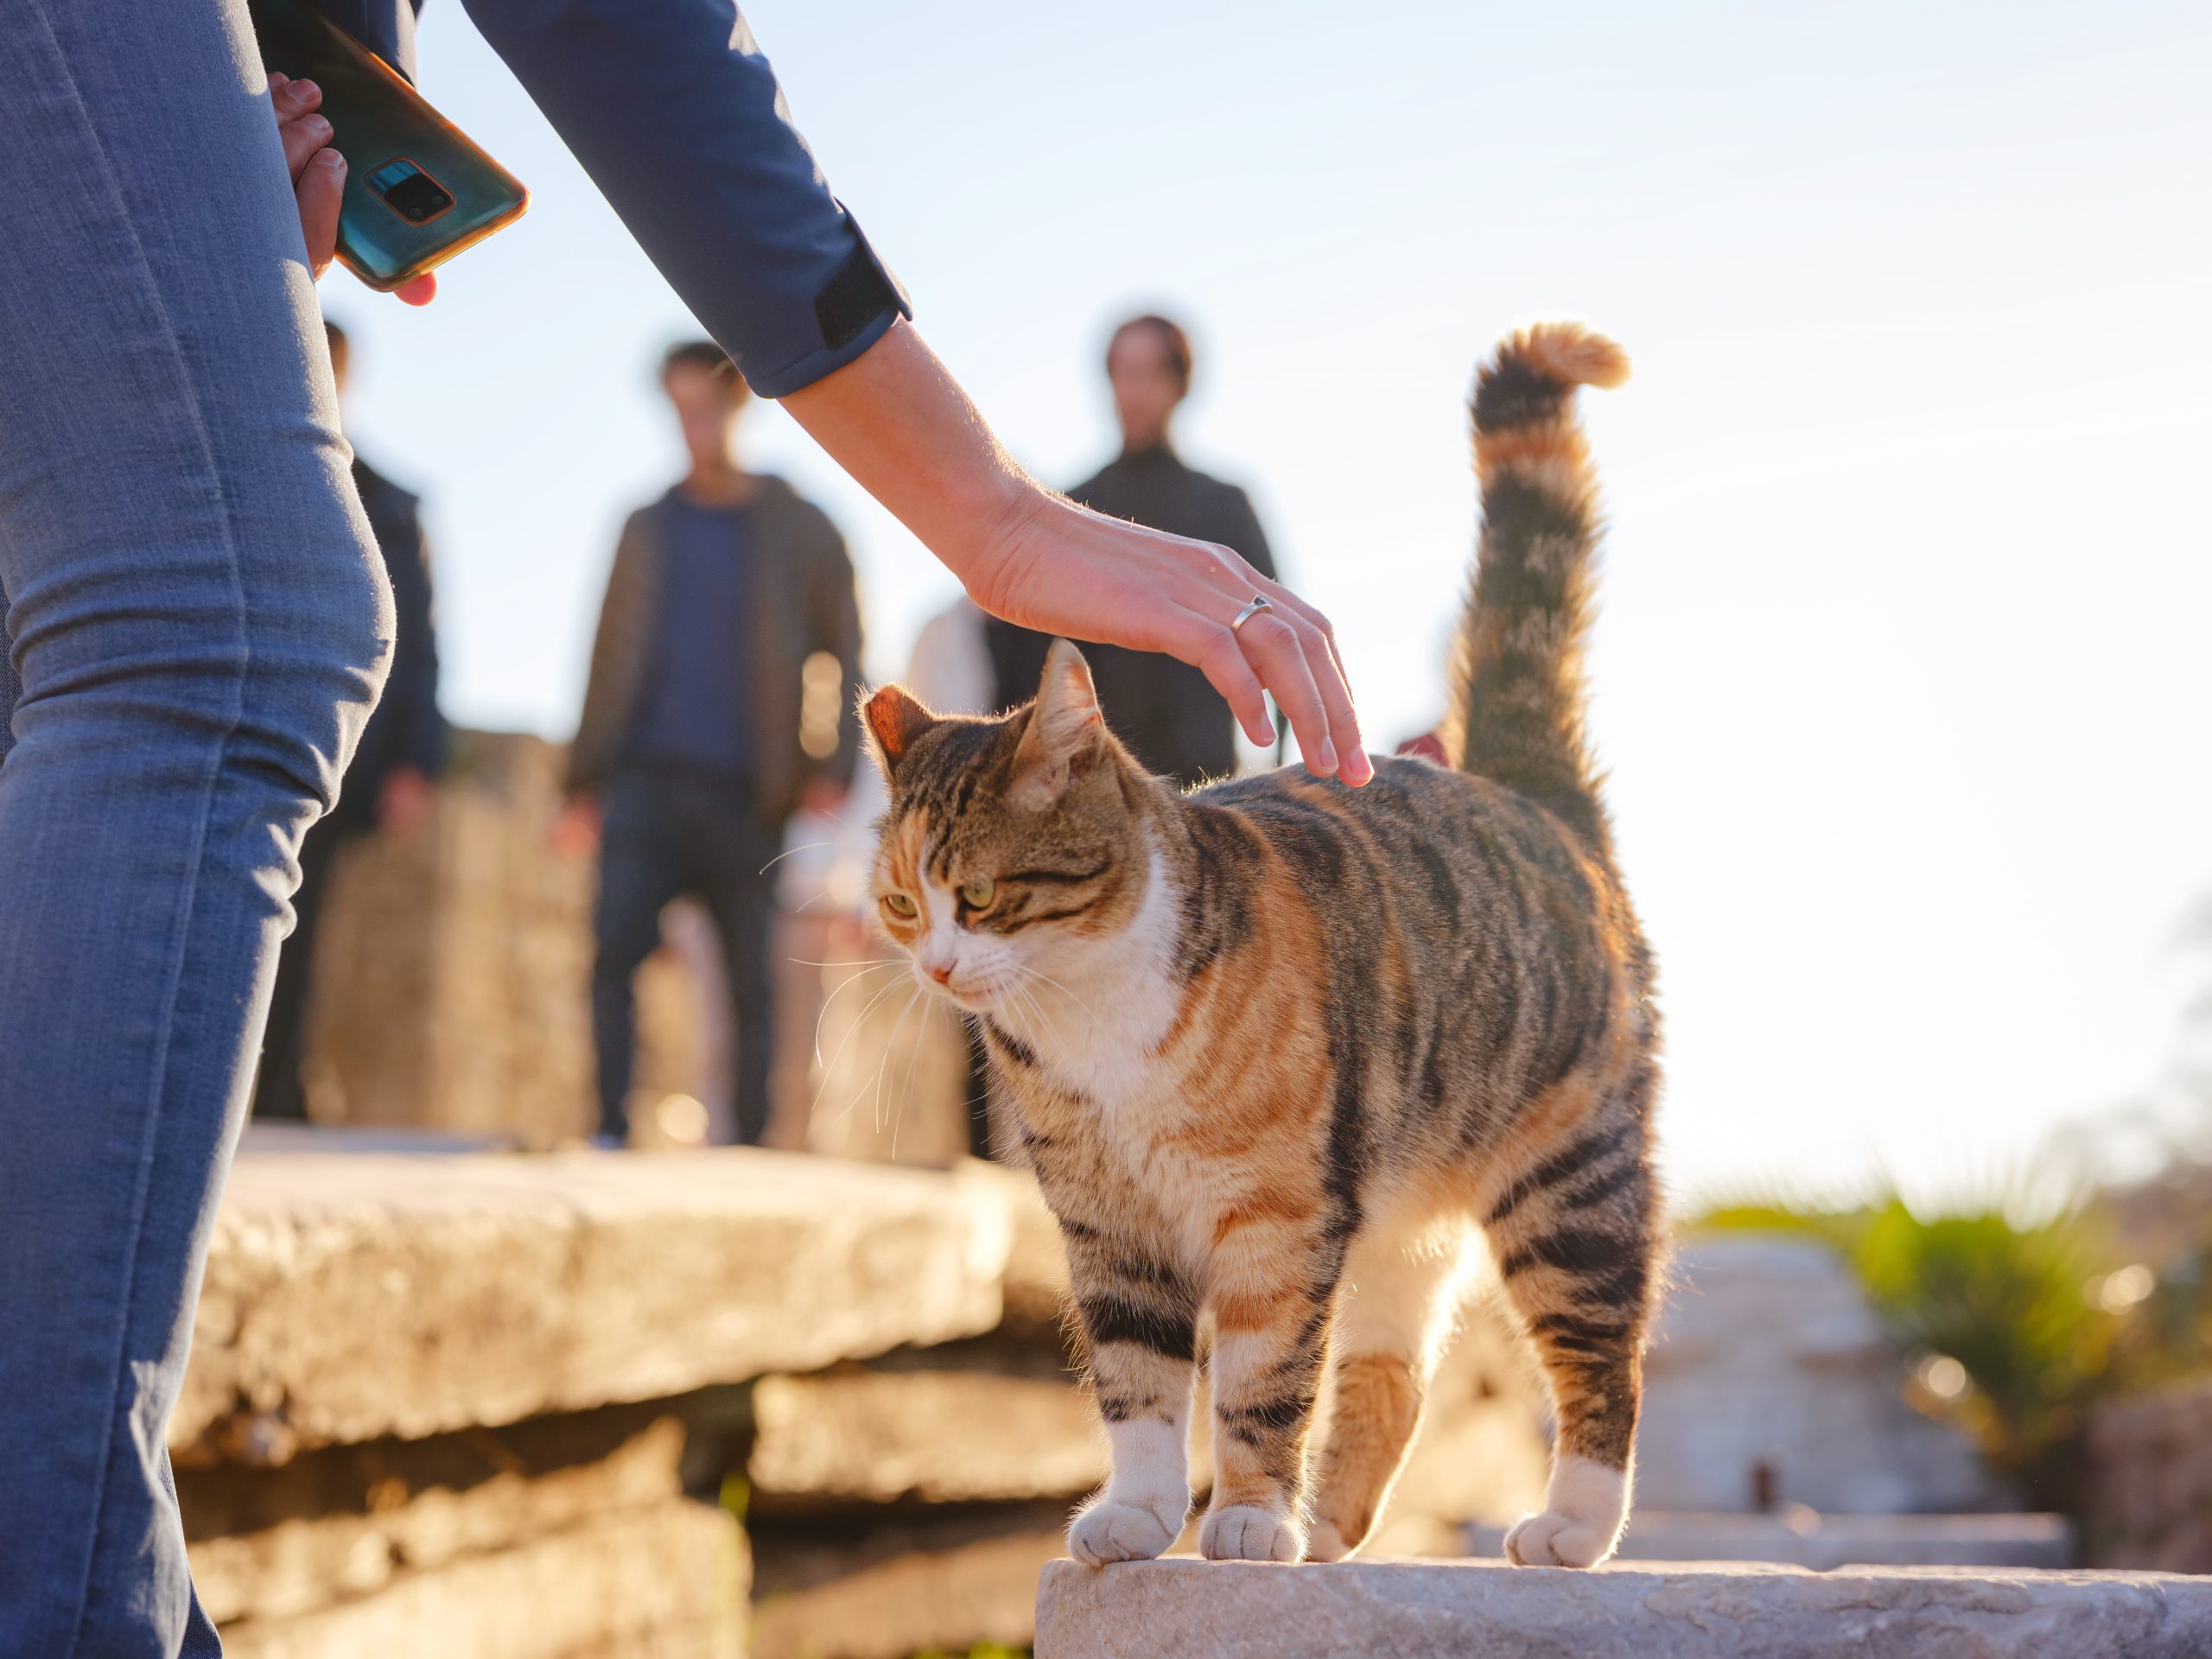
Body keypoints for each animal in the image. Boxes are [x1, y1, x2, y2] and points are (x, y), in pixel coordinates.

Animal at [862, 325, 1663, 1574]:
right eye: (902, 905)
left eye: (981, 896)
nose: (937, 969)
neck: (1090, 1017)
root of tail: (1528, 792)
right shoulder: (1109, 1223)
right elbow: (1138, 1380)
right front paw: (1142, 1512)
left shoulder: (1277, 1220)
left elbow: (1260, 1375)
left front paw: (1243, 1514)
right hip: (1391, 1201)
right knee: (1393, 1369)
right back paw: (1328, 1526)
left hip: (1566, 1179)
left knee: (1601, 1347)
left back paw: (1571, 1523)